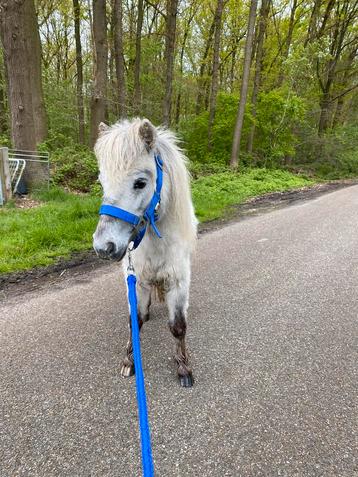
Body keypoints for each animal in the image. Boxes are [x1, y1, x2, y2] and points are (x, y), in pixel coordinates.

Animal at [92, 119, 199, 386]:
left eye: (140, 183)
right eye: (101, 182)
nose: (104, 247)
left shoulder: (178, 281)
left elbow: (178, 326)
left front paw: (183, 368)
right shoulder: (136, 281)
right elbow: (135, 321)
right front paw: (129, 361)